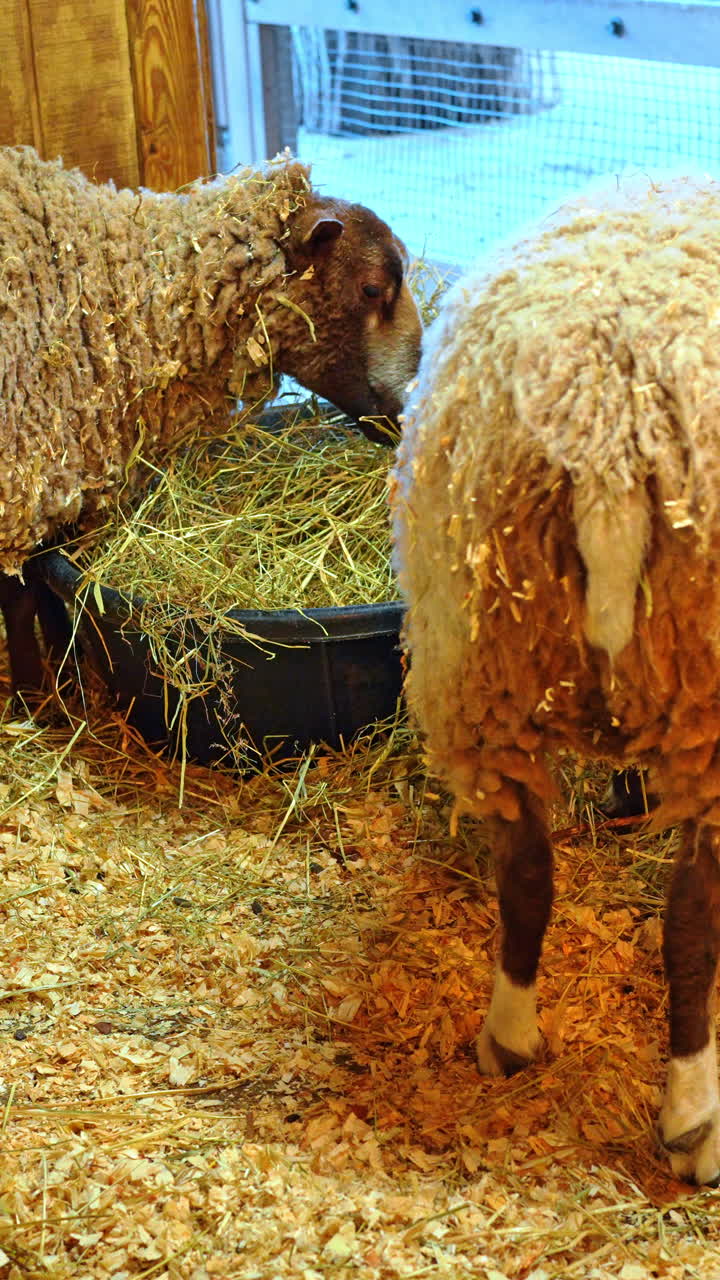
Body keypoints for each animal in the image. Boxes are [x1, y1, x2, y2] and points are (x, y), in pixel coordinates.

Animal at [0, 144, 422, 694]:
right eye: (371, 290)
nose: (412, 404)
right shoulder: (20, 485)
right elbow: (20, 599)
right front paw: (33, 695)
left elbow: (43, 587)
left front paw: (63, 682)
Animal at [390, 172, 720, 1185]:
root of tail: (609, 432)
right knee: (692, 917)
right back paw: (695, 1119)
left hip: (480, 665)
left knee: (527, 870)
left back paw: (508, 1038)